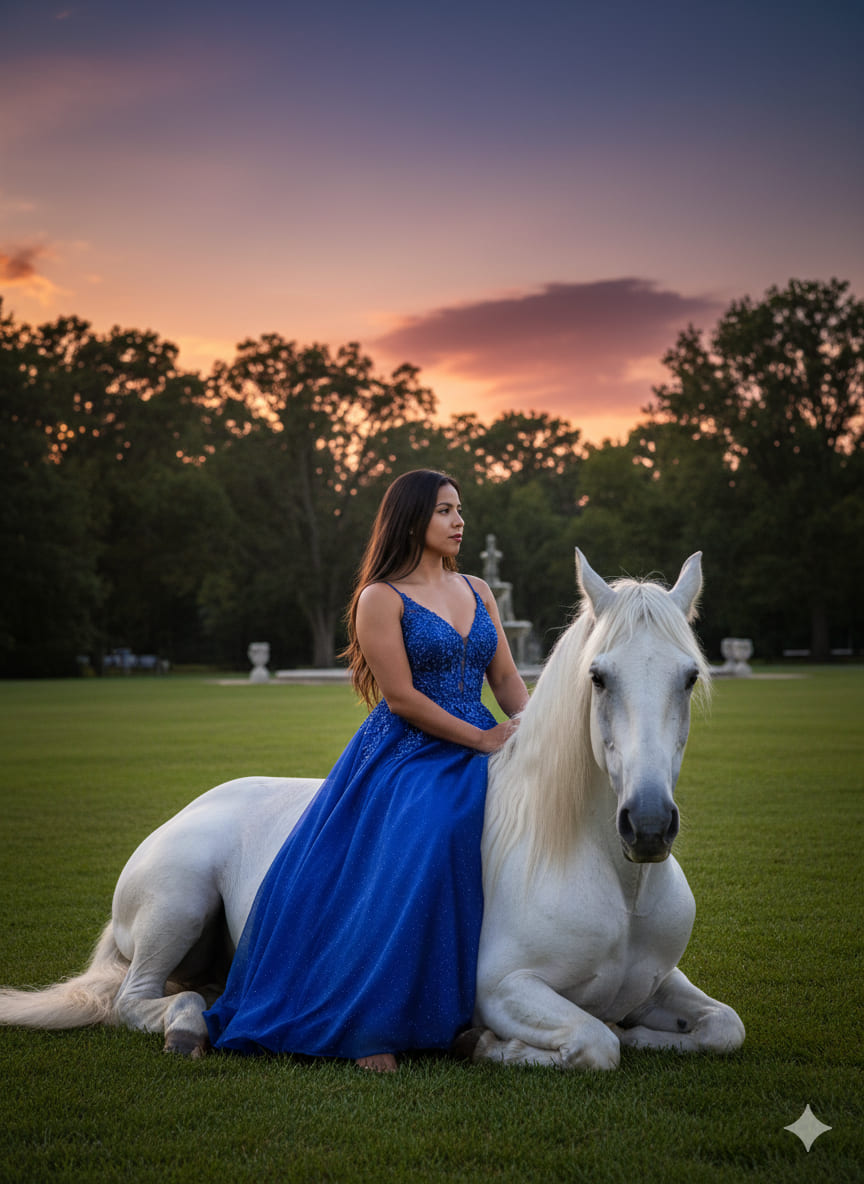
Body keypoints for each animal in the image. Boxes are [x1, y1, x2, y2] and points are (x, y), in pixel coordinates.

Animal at [0, 550, 745, 1070]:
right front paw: (483, 1045)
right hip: (177, 901)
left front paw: (643, 1032)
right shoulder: (505, 987)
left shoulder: (660, 981)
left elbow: (721, 1027)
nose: (647, 825)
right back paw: (188, 1027)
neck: (613, 878)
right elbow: (595, 1042)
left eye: (689, 677)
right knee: (133, 1001)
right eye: (598, 677)